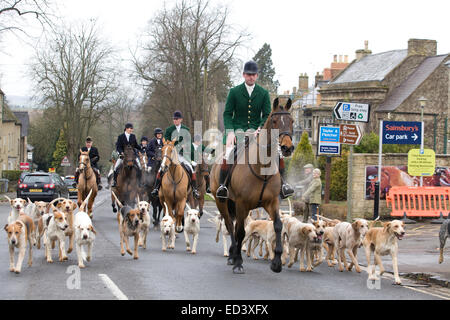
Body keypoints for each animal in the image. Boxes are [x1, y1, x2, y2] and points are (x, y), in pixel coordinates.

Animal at [211, 98, 296, 276]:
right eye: (274, 121)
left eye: (292, 121)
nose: (287, 148)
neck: (261, 166)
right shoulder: (242, 203)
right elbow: (240, 231)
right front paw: (238, 262)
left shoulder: (272, 202)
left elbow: (278, 226)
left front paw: (277, 262)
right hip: (222, 202)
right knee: (231, 226)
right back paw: (233, 256)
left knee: (235, 226)